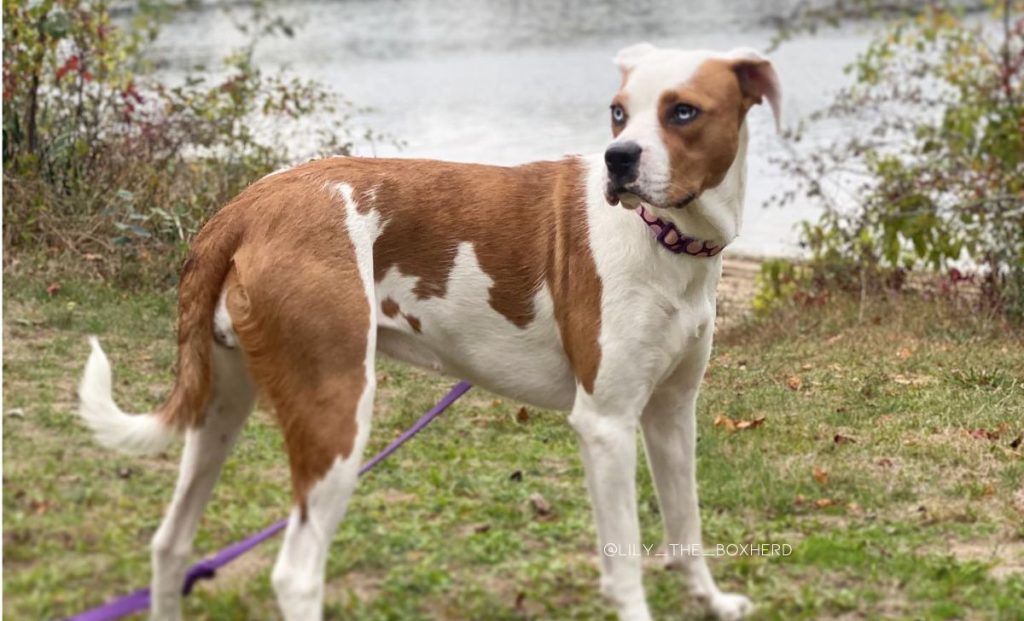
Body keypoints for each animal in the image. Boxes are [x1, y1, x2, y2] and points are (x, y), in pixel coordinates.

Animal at [79, 41, 778, 618]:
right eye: (618, 113)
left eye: (683, 112)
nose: (618, 160)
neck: (666, 239)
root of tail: (246, 205)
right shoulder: (606, 425)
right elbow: (626, 561)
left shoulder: (671, 415)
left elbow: (687, 528)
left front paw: (712, 603)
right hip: (335, 413)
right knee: (295, 576)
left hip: (221, 410)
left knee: (170, 545)